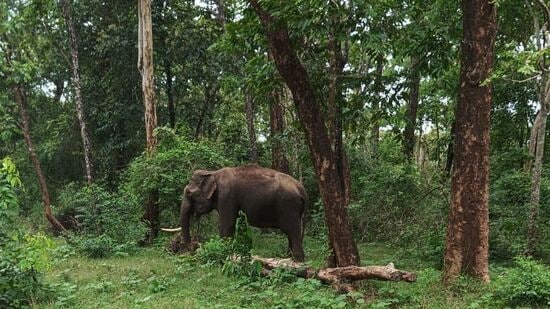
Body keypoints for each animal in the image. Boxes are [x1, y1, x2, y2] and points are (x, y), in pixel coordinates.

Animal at [164, 164, 310, 260]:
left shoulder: (226, 196)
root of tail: (302, 189)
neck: (212, 173)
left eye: (189, 193)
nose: (194, 246)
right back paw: (289, 258)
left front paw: (224, 254)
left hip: (288, 206)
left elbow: (226, 225)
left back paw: (298, 261)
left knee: (292, 231)